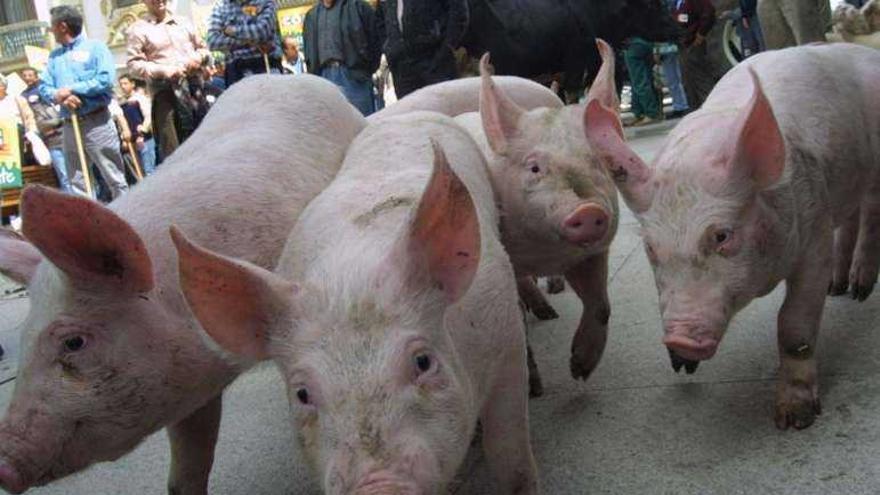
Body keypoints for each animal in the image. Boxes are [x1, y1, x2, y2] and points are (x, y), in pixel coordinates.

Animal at [172, 112, 536, 495]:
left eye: (423, 361)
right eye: (302, 394)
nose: (378, 487)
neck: (348, 279)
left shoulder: (505, 338)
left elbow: (510, 458)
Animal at [584, 42, 880, 430]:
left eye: (722, 236)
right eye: (650, 247)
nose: (680, 337)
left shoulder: (814, 230)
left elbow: (794, 325)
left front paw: (793, 419)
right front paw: (682, 364)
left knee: (872, 211)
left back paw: (859, 291)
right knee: (851, 218)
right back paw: (839, 288)